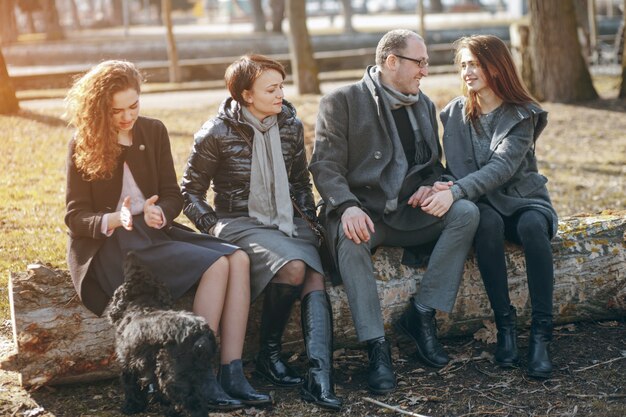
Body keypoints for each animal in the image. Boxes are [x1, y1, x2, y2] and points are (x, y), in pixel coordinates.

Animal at [107, 254, 214, 416]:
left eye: (131, 271)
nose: (131, 254)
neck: (142, 304)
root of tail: (201, 331)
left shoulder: (128, 361)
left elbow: (131, 386)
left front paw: (131, 407)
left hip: (173, 374)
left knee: (194, 402)